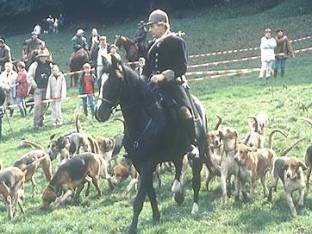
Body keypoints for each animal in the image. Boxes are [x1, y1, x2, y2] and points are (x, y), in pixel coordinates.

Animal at [95, 54, 210, 232]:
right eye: (100, 82)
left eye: (113, 83)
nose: (99, 113)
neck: (145, 118)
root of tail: (199, 106)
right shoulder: (140, 164)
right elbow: (150, 193)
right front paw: (156, 216)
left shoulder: (147, 164)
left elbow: (139, 200)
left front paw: (132, 228)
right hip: (176, 153)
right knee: (178, 169)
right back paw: (178, 193)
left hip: (198, 151)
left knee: (196, 180)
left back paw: (194, 208)